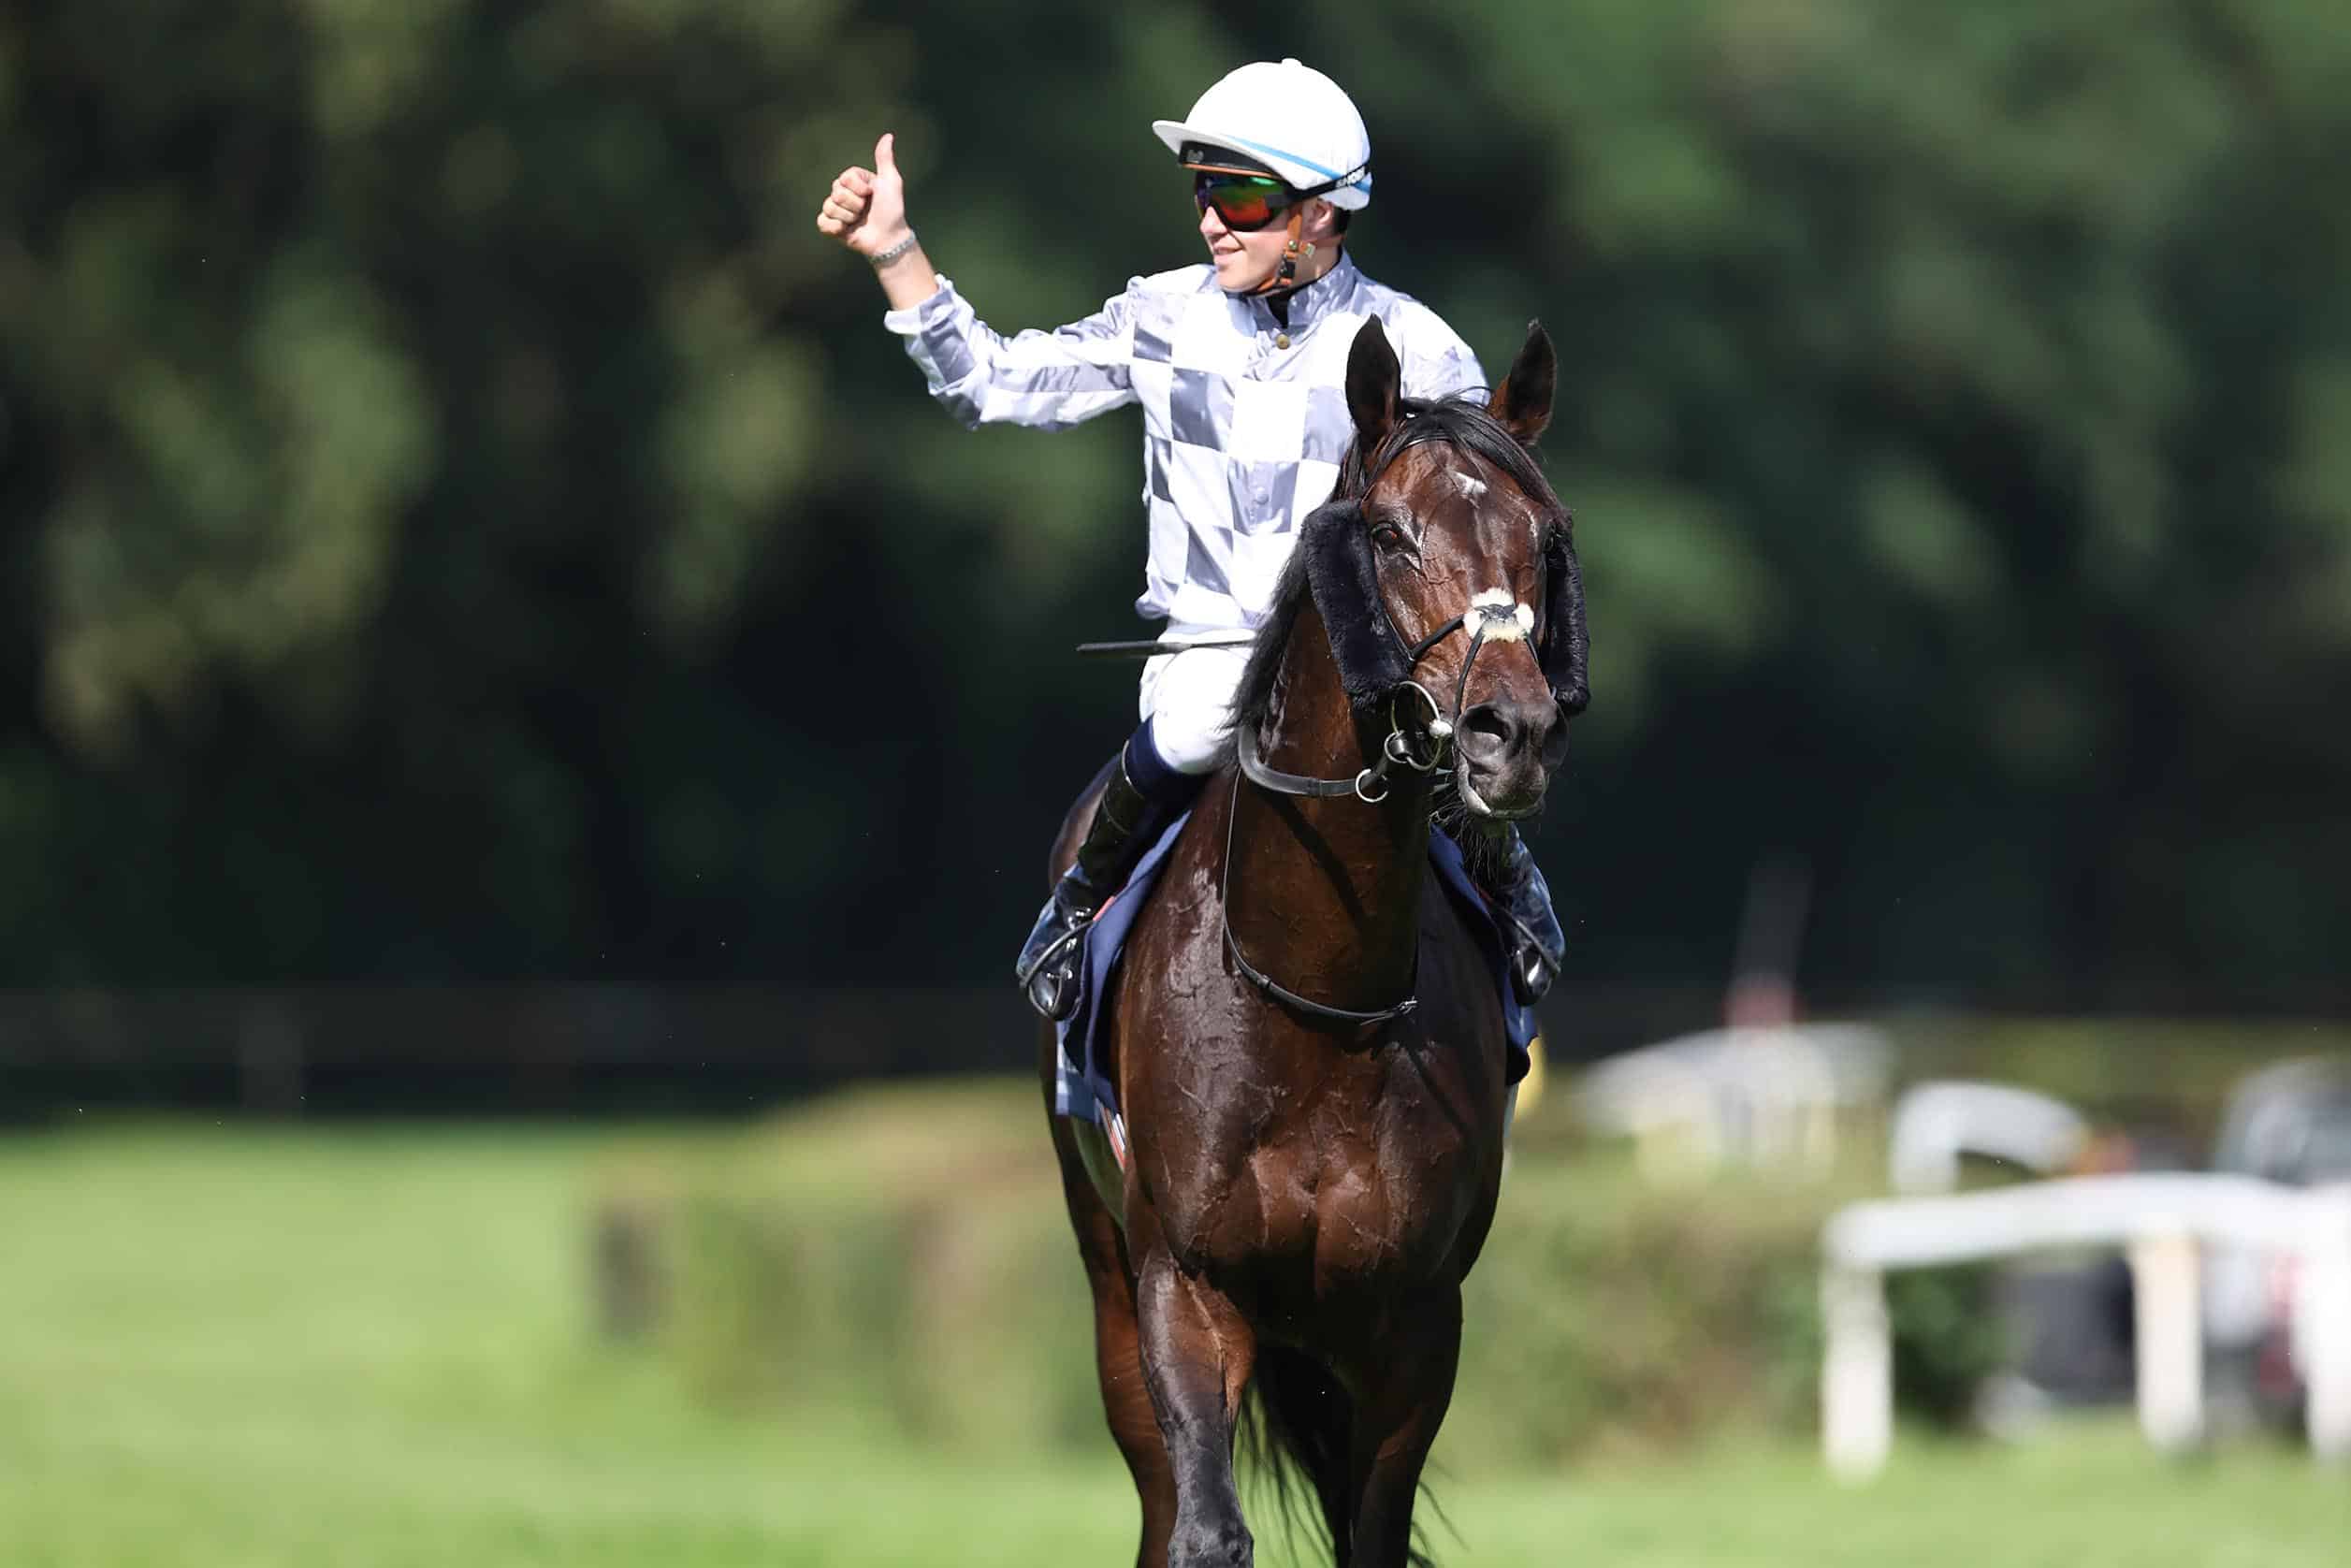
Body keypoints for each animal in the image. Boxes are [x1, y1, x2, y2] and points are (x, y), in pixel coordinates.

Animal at [1038, 310, 1589, 1568]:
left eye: (1543, 535)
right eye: (1387, 533)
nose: (1510, 732)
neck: (1316, 995)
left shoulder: (1412, 1321)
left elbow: (1370, 1533)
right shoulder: (1185, 1283)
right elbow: (1200, 1528)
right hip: (1103, 1265)